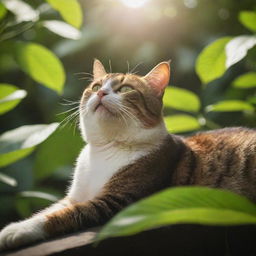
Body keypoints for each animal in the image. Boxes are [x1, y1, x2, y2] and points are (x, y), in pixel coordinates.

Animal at [0, 59, 256, 249]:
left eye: (124, 89)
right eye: (95, 86)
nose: (101, 93)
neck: (106, 149)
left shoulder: (118, 201)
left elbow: (64, 215)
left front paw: (17, 230)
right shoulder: (74, 196)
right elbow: (50, 210)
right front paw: (21, 224)